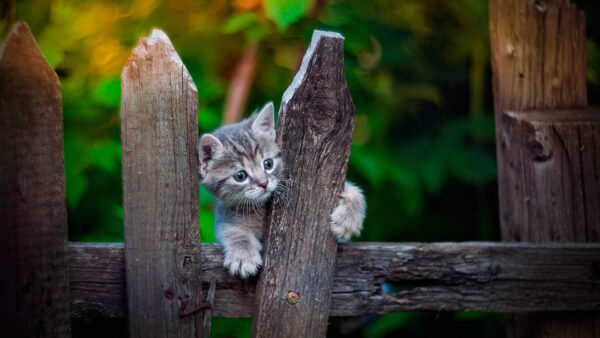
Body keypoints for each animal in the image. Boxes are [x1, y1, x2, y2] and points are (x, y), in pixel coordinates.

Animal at [198, 102, 366, 278]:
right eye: (240, 176)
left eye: (268, 164)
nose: (264, 183)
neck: (261, 207)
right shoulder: (224, 217)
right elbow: (232, 231)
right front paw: (243, 256)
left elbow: (354, 190)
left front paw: (349, 219)